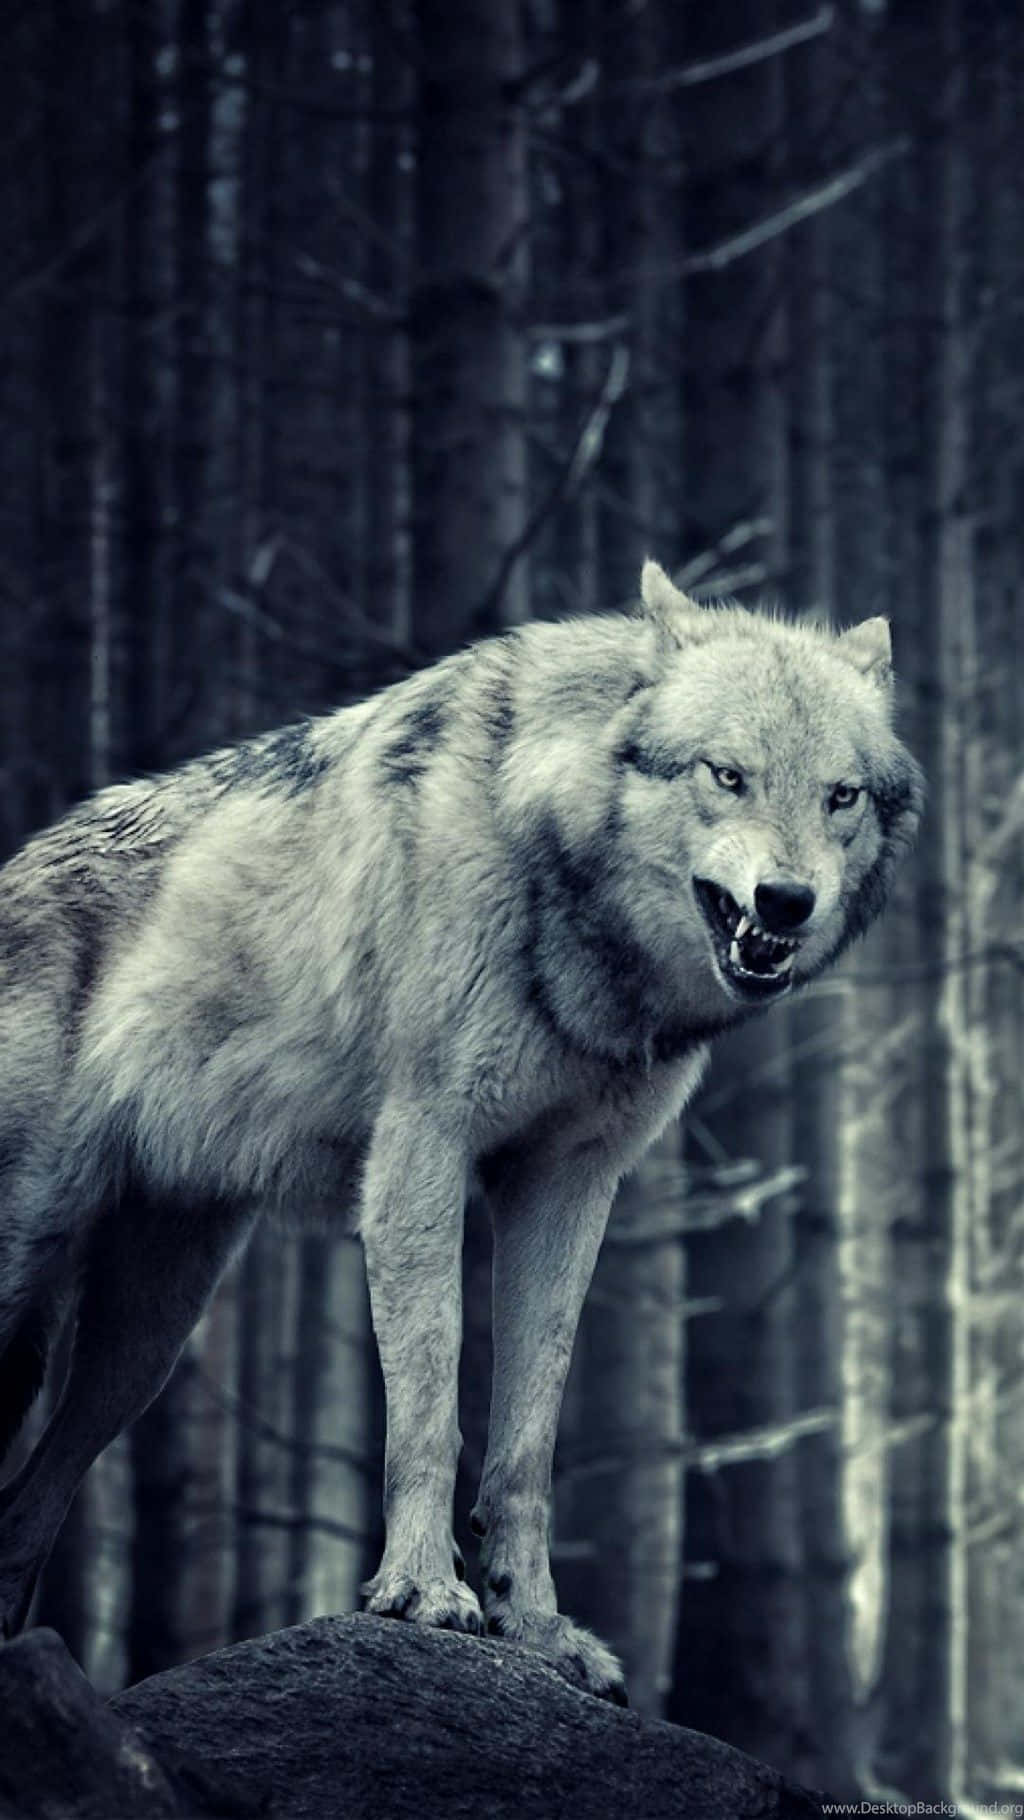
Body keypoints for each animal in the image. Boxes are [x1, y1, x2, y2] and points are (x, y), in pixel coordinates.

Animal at [0, 561, 922, 1697]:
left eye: (840, 795)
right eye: (727, 774)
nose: (786, 901)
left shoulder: (568, 1187)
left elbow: (524, 1442)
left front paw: (536, 1628)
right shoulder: (420, 1154)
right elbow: (429, 1413)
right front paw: (424, 1594)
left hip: (143, 1345)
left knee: (24, 1516)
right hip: (36, 1270)